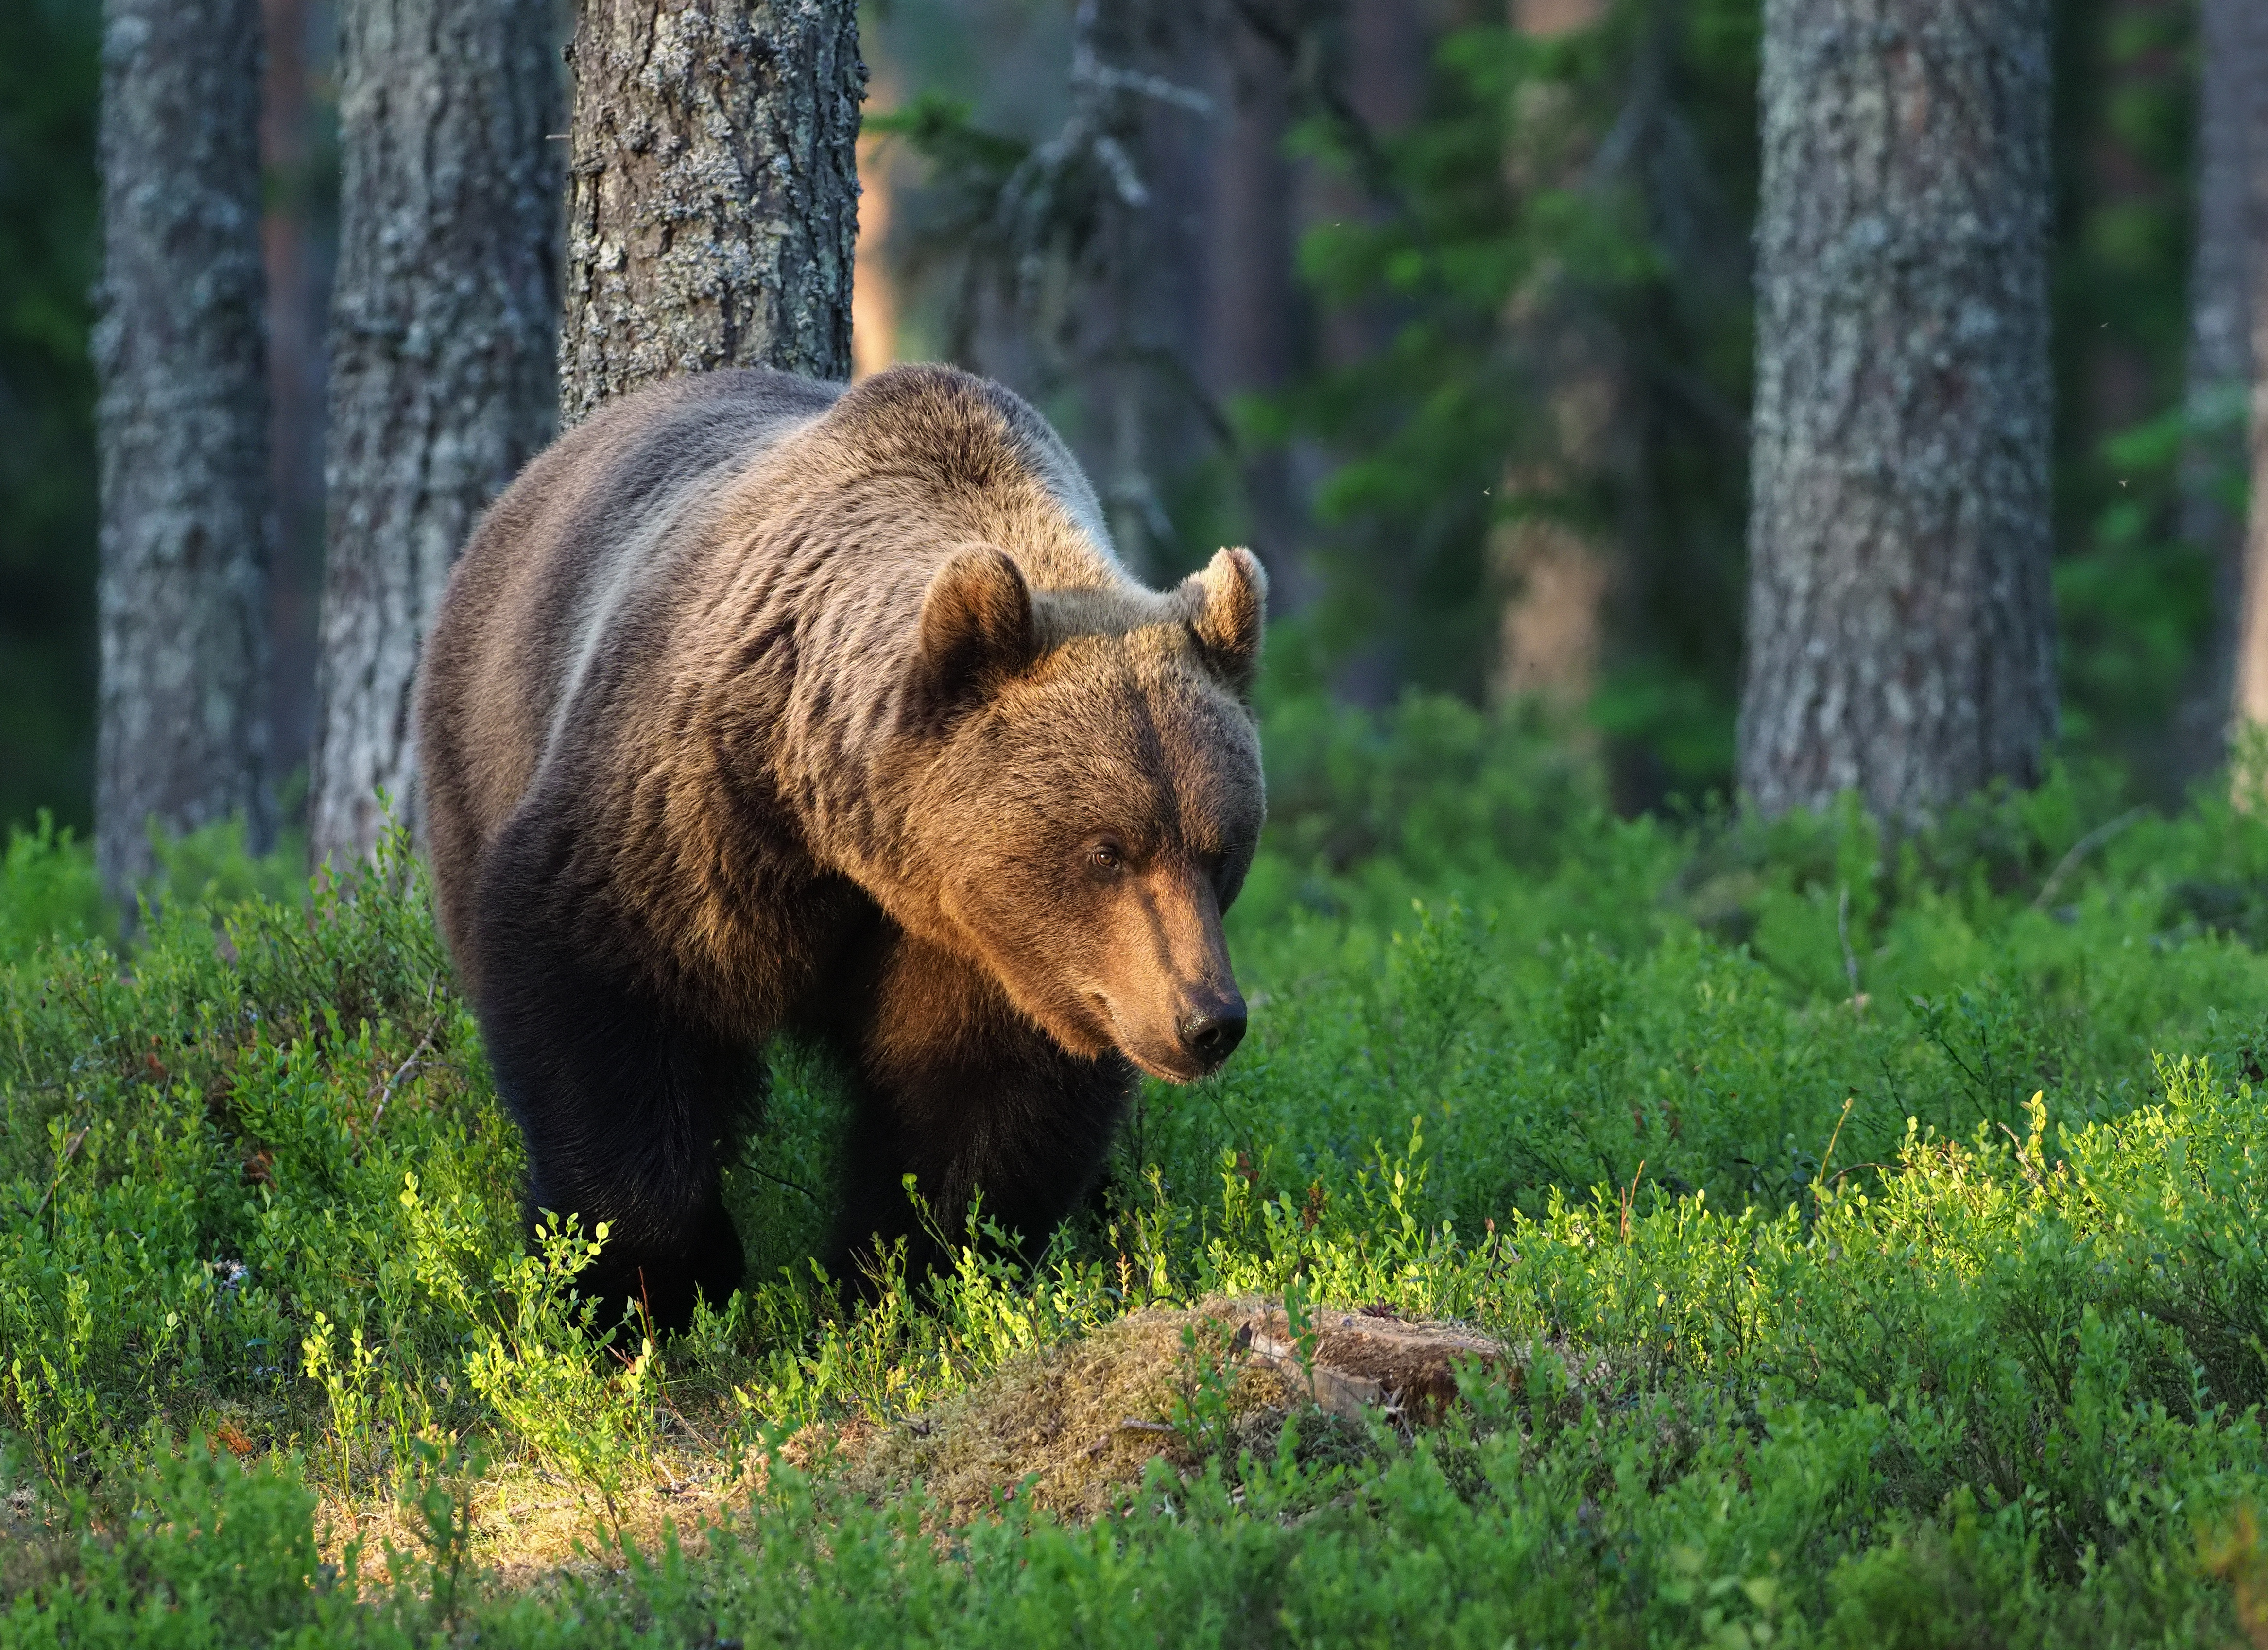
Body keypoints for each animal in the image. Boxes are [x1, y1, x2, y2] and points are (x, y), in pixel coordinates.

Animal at [417, 360, 1270, 1323]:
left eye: (1220, 849)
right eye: (1106, 850)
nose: (1207, 1021)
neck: (850, 836)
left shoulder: (988, 947)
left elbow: (976, 1101)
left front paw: (904, 1276)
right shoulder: (688, 811)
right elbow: (602, 991)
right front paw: (647, 1280)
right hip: (480, 748)